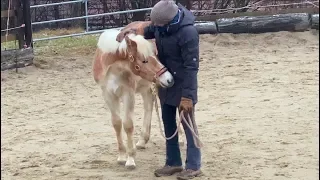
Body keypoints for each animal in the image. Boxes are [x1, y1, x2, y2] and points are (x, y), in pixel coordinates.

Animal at [91, 29, 174, 169]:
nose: (169, 79)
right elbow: (117, 123)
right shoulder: (108, 95)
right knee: (148, 107)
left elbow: (128, 125)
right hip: (147, 88)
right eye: (144, 61)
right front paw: (121, 156)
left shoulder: (128, 94)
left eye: (155, 56)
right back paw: (142, 141)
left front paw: (130, 159)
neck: (113, 69)